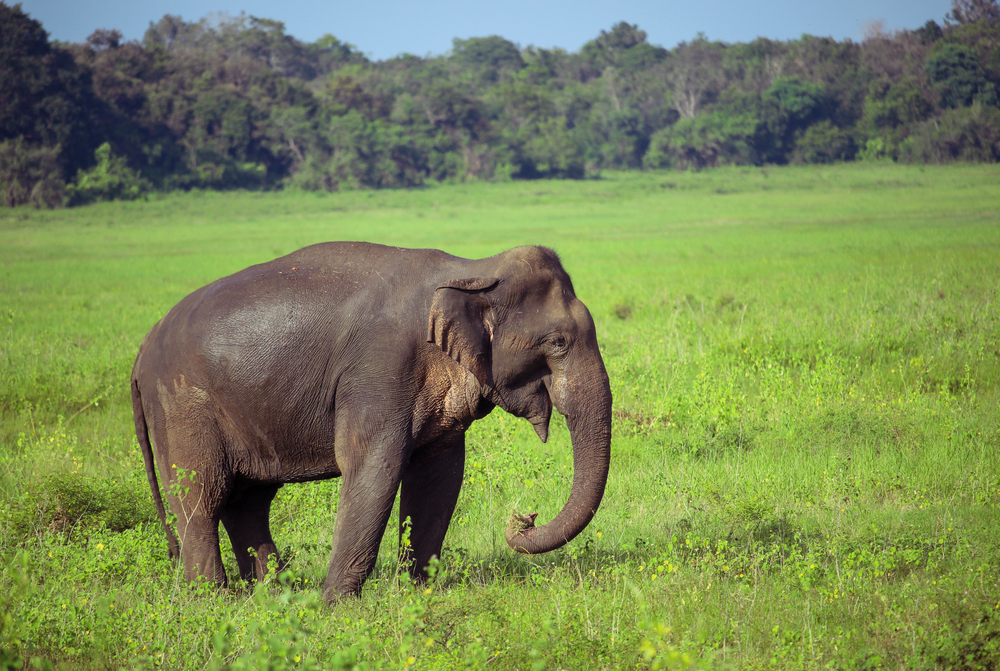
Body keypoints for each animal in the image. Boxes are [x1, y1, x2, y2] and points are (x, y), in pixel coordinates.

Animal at [129, 240, 612, 600]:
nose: (523, 518)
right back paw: (214, 601)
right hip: (182, 405)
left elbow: (439, 476)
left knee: (248, 501)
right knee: (200, 498)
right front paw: (336, 608)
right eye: (558, 342)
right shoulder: (379, 369)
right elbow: (375, 466)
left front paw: (418, 594)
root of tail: (142, 351)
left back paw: (275, 595)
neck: (473, 269)